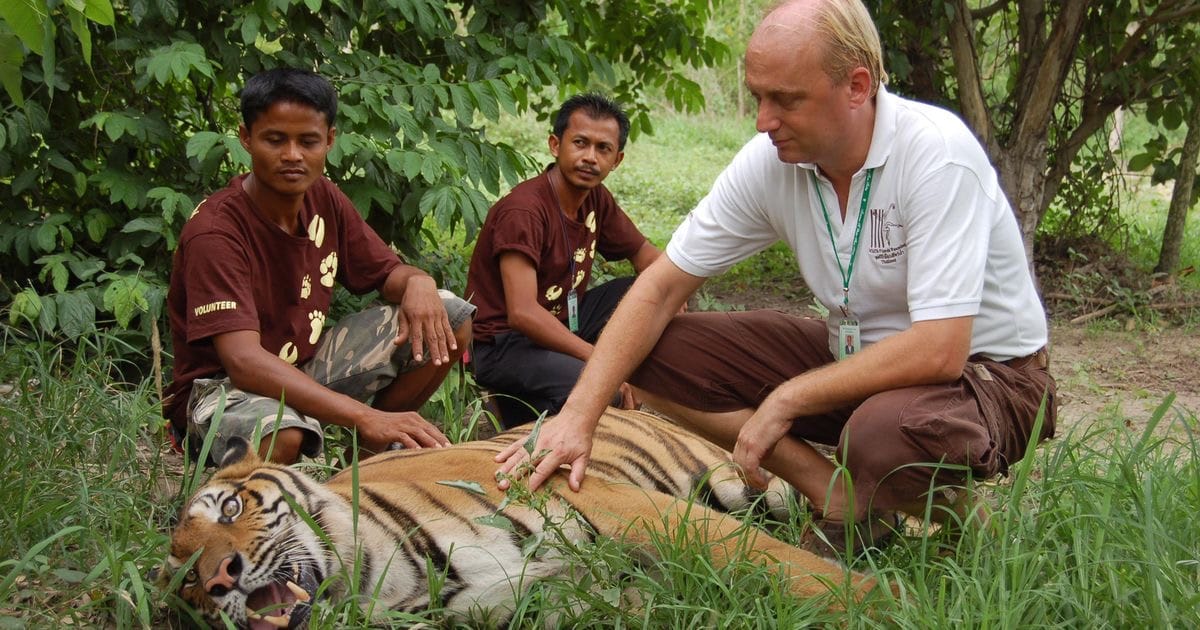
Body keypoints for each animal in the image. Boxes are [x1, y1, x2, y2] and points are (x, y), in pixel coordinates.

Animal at [164, 405, 883, 624]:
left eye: (229, 507)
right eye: (185, 583)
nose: (220, 579)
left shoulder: (623, 505)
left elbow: (784, 565)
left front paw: (889, 602)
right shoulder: (555, 600)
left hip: (744, 482)